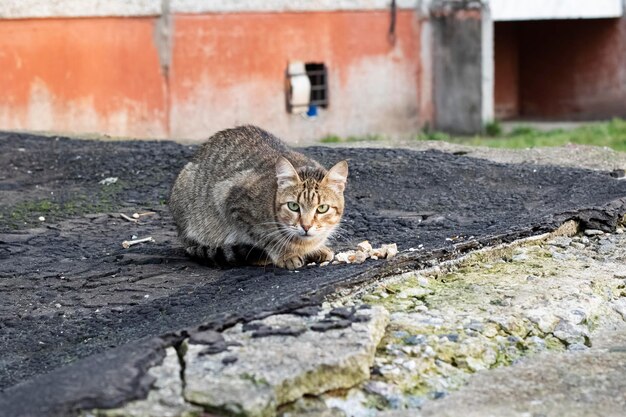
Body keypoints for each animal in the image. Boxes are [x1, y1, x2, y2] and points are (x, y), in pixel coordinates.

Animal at [168, 125, 348, 268]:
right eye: (293, 206)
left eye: (322, 208)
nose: (306, 226)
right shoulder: (229, 199)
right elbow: (265, 237)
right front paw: (285, 254)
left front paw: (317, 248)